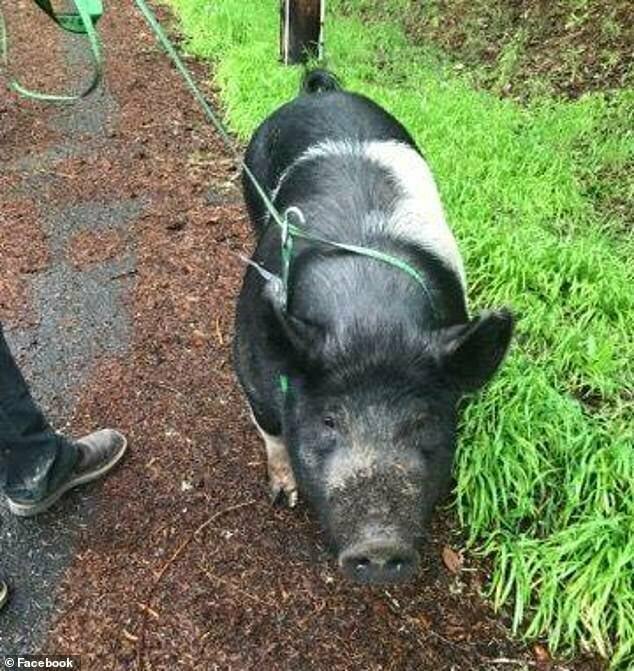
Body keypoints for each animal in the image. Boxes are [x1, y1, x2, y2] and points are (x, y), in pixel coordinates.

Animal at [233, 69, 512, 584]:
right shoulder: (250, 368)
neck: (371, 319)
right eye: (328, 419)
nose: (379, 545)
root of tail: (322, 93)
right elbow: (272, 430)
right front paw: (283, 495)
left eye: (423, 420)